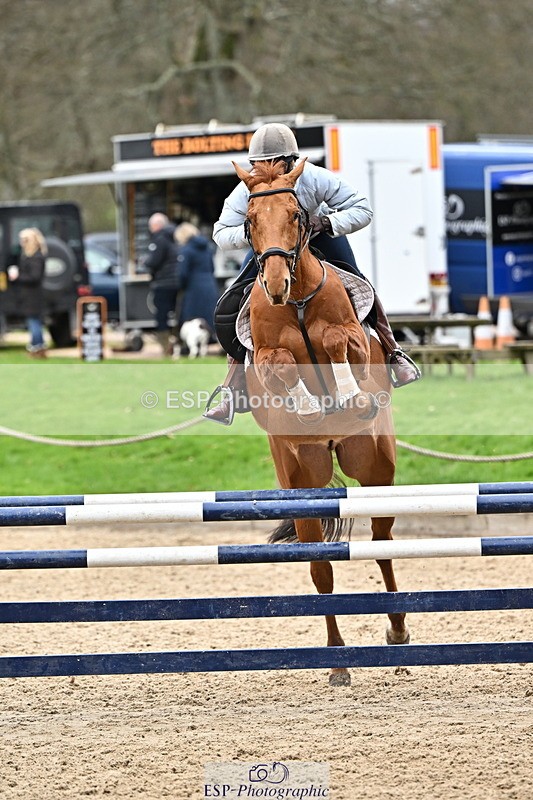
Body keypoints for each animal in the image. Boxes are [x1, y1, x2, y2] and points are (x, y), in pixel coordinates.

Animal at [233, 158, 410, 686]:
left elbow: (334, 341)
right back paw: (336, 661)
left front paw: (347, 394)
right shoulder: (267, 356)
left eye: (297, 214)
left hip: (373, 465)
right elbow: (282, 362)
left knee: (381, 542)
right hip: (303, 477)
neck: (297, 302)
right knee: (321, 566)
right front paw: (309, 405)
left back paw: (398, 630)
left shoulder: (351, 338)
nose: (275, 284)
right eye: (250, 220)